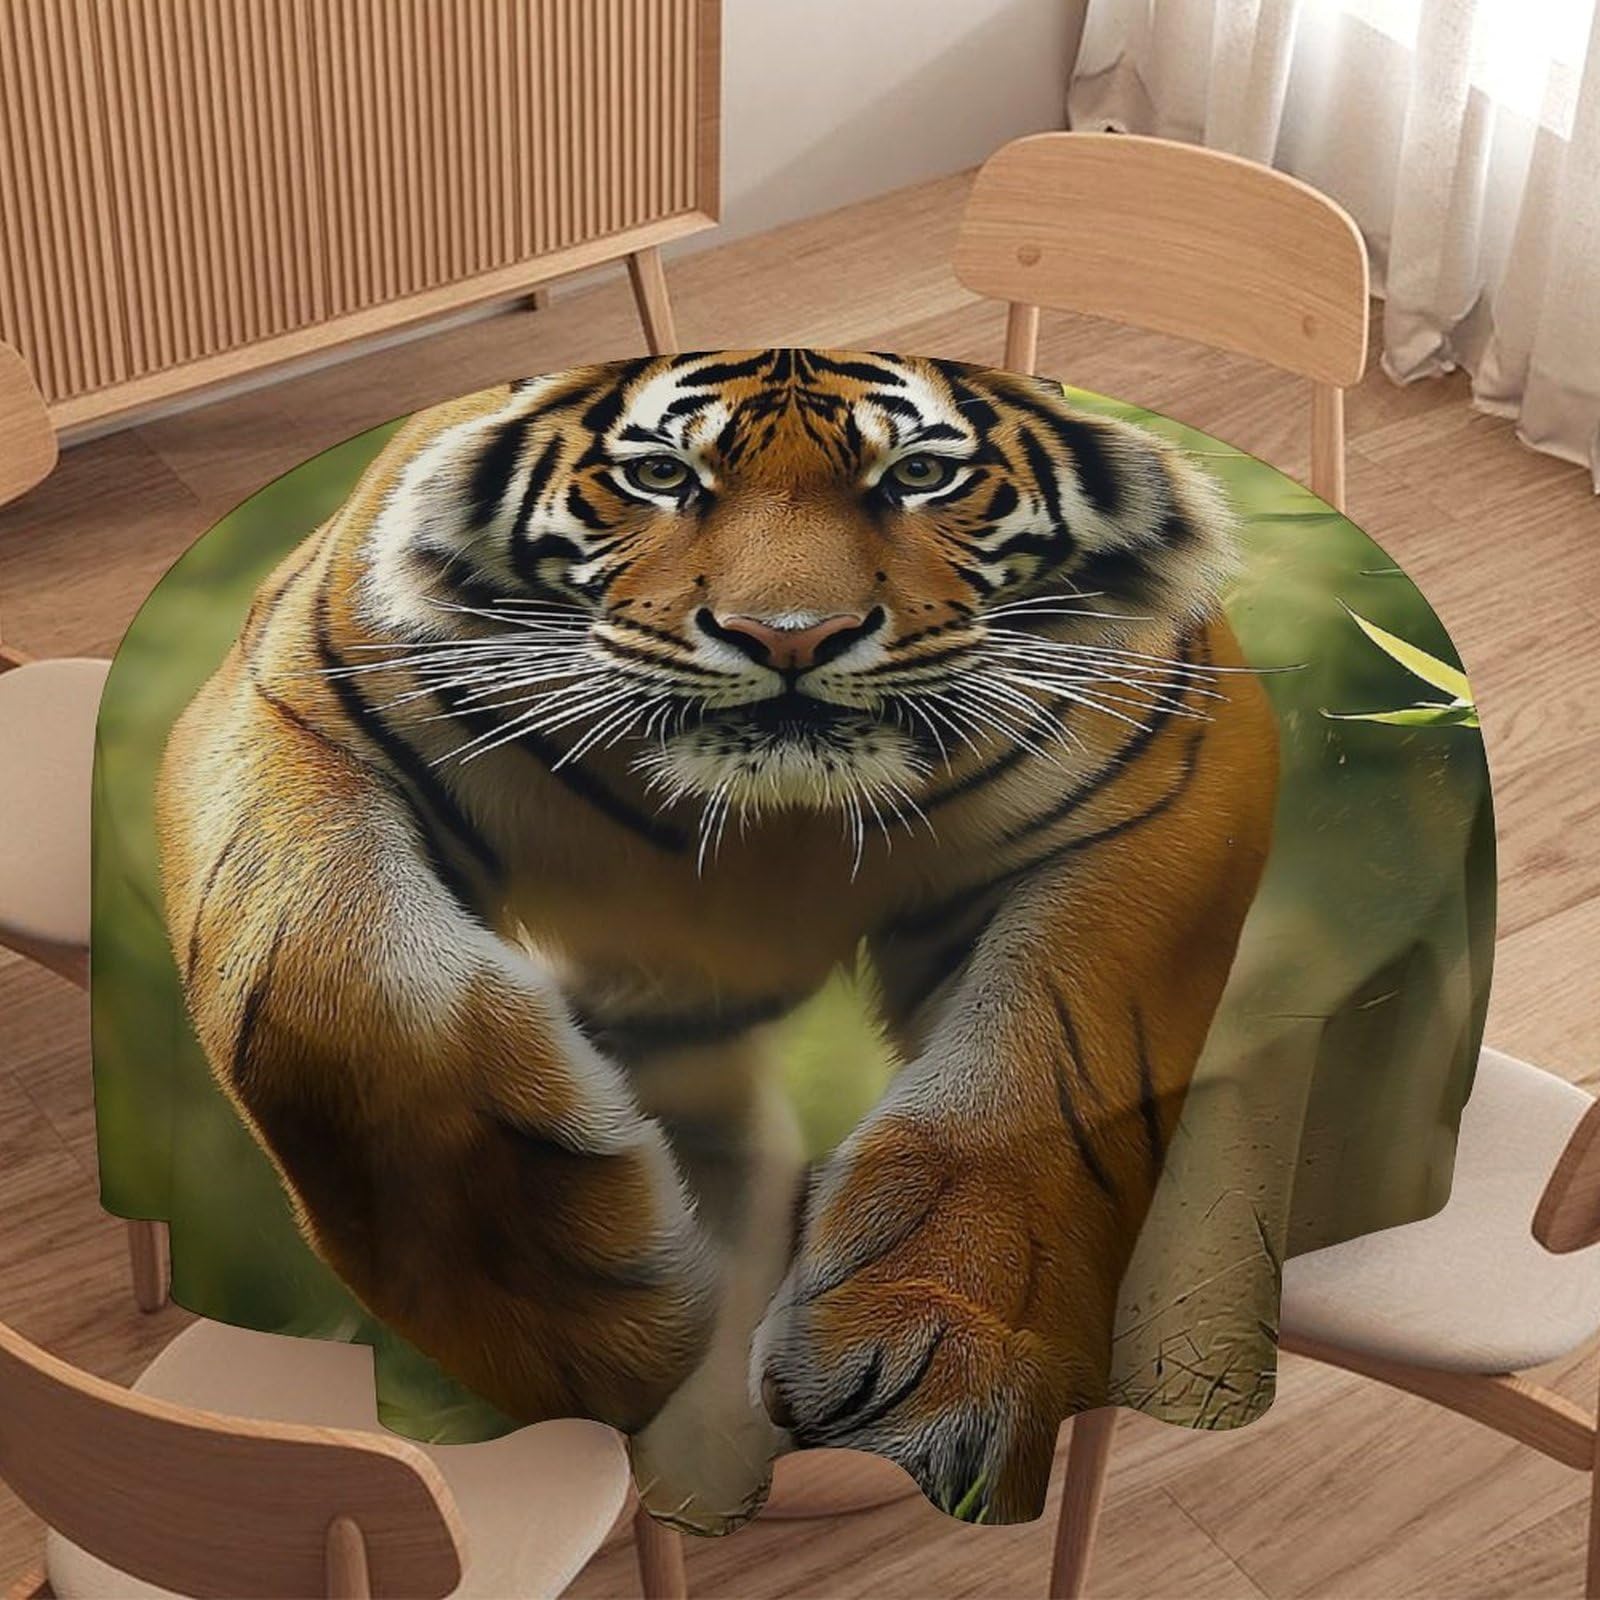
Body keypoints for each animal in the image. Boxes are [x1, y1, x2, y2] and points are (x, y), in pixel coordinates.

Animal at [157, 348, 1278, 1530]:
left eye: (920, 474)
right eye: (659, 475)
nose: (791, 636)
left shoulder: (1166, 777)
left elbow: (1041, 1074)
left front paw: (942, 1352)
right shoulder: (297, 704)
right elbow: (330, 1006)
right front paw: (591, 1326)